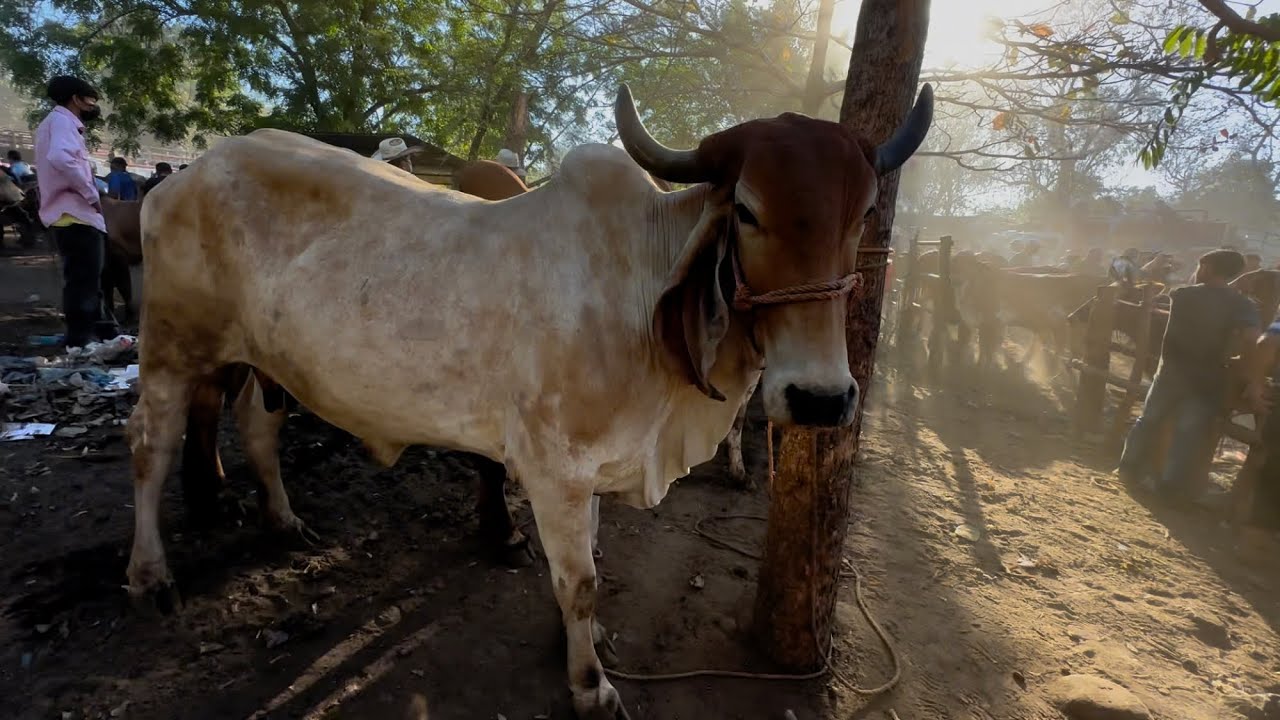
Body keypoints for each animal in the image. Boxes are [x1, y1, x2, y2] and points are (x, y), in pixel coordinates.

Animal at [125, 83, 934, 718]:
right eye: (746, 210)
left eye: (864, 214)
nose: (822, 399)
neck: (638, 289)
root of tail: (181, 176)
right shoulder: (555, 470)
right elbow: (579, 581)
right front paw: (590, 685)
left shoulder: (593, 469)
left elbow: (594, 560)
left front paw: (589, 643)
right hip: (172, 344)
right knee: (150, 446)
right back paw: (151, 576)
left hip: (266, 360)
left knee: (255, 428)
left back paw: (286, 523)